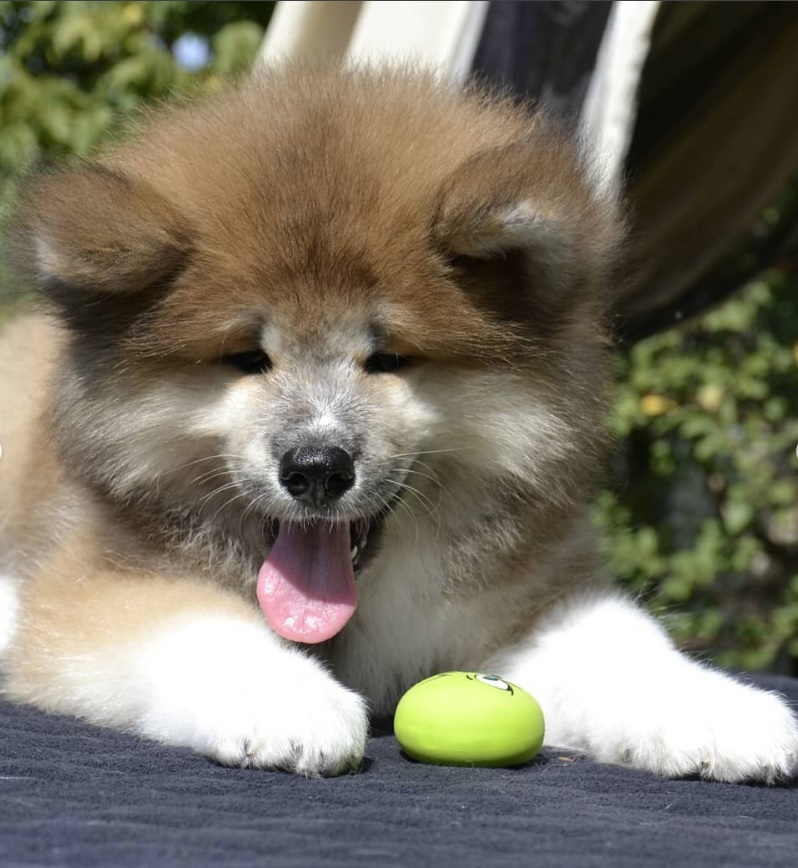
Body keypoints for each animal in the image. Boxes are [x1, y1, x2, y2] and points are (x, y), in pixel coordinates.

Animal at [1, 64, 798, 776]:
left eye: (388, 357)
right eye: (247, 358)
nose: (316, 469)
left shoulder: (523, 600)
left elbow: (624, 647)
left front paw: (719, 710)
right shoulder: (97, 580)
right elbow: (193, 625)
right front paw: (282, 697)